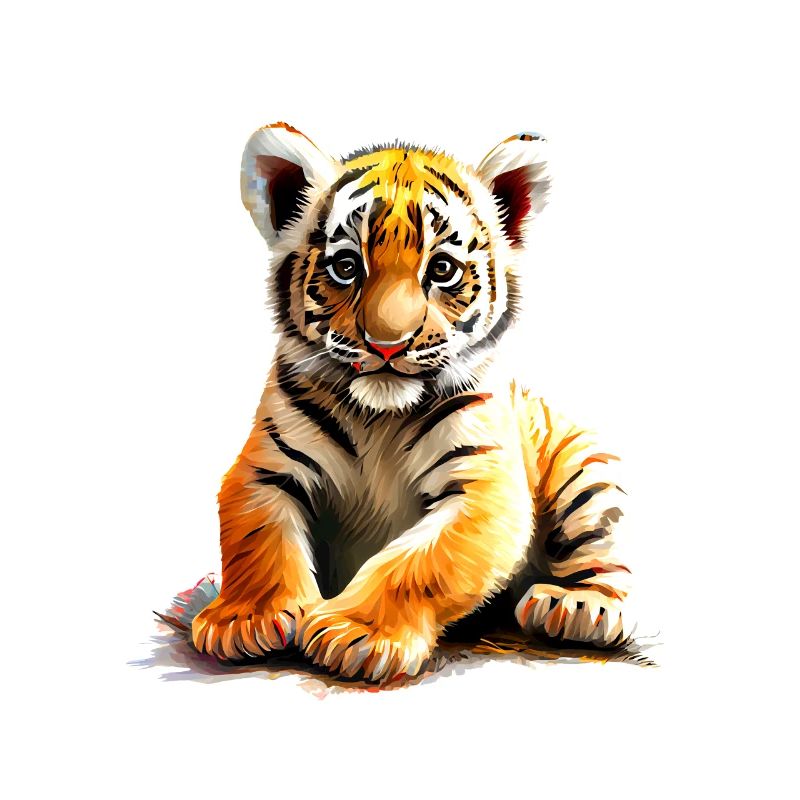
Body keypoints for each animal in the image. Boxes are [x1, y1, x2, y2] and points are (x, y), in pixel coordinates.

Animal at [188, 121, 635, 683]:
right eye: (346, 266)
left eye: (441, 269)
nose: (387, 345)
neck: (378, 417)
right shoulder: (265, 468)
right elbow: (258, 539)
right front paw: (245, 618)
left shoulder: (483, 484)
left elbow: (418, 563)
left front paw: (357, 633)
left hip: (581, 470)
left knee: (604, 560)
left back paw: (578, 606)